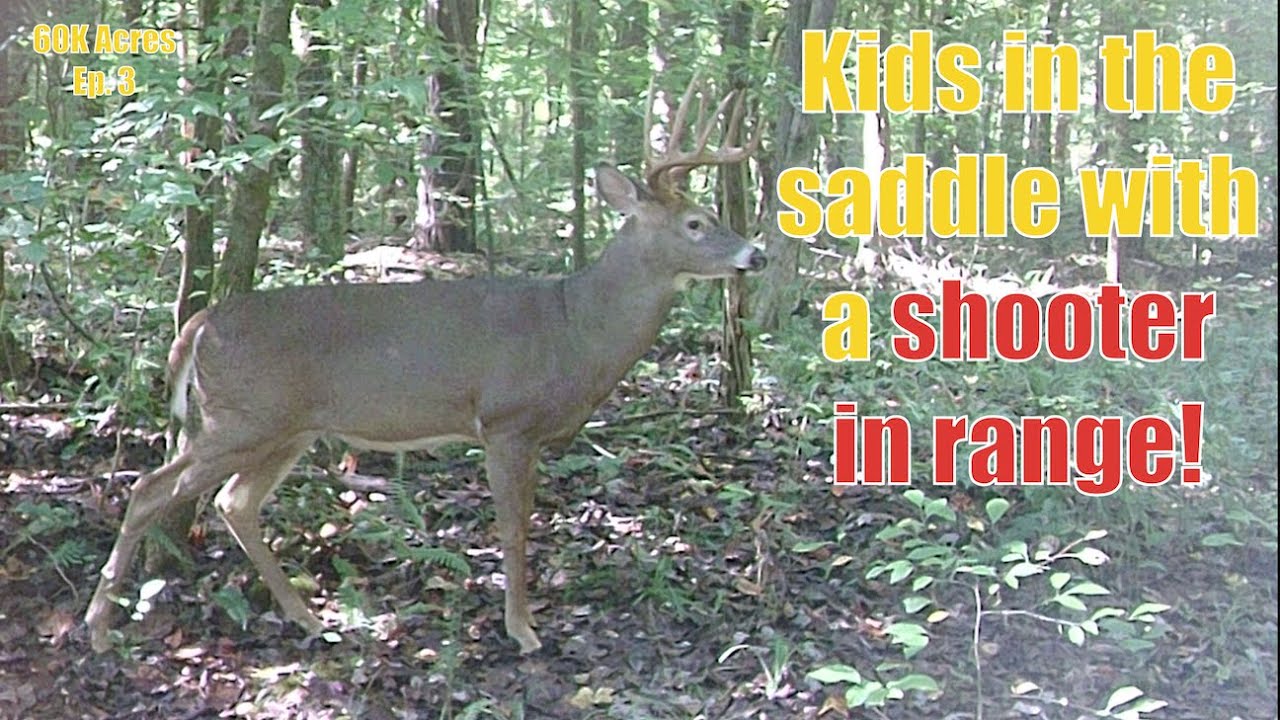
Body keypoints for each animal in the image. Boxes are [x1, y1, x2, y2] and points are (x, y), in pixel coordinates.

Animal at [84, 79, 765, 656]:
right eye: (696, 222)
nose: (755, 254)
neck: (574, 329)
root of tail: (200, 324)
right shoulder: (506, 421)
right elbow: (513, 529)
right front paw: (523, 632)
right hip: (244, 416)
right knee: (150, 490)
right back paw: (97, 627)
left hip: (286, 427)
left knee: (234, 503)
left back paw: (308, 618)